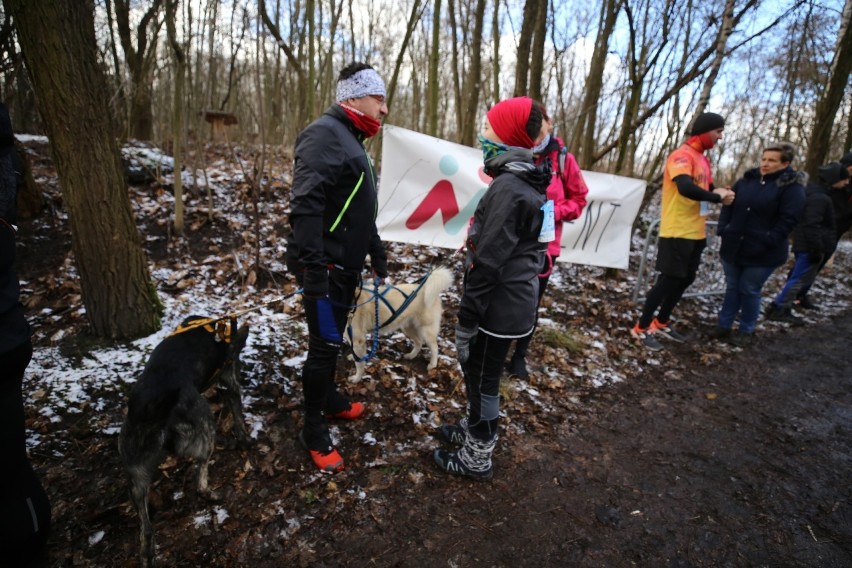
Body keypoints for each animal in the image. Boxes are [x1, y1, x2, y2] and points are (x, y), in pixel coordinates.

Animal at [120, 318, 253, 564]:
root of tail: (152, 412)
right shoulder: (229, 380)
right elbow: (238, 416)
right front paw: (246, 441)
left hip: (136, 477)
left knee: (146, 529)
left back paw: (148, 555)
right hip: (207, 427)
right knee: (200, 482)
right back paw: (213, 494)